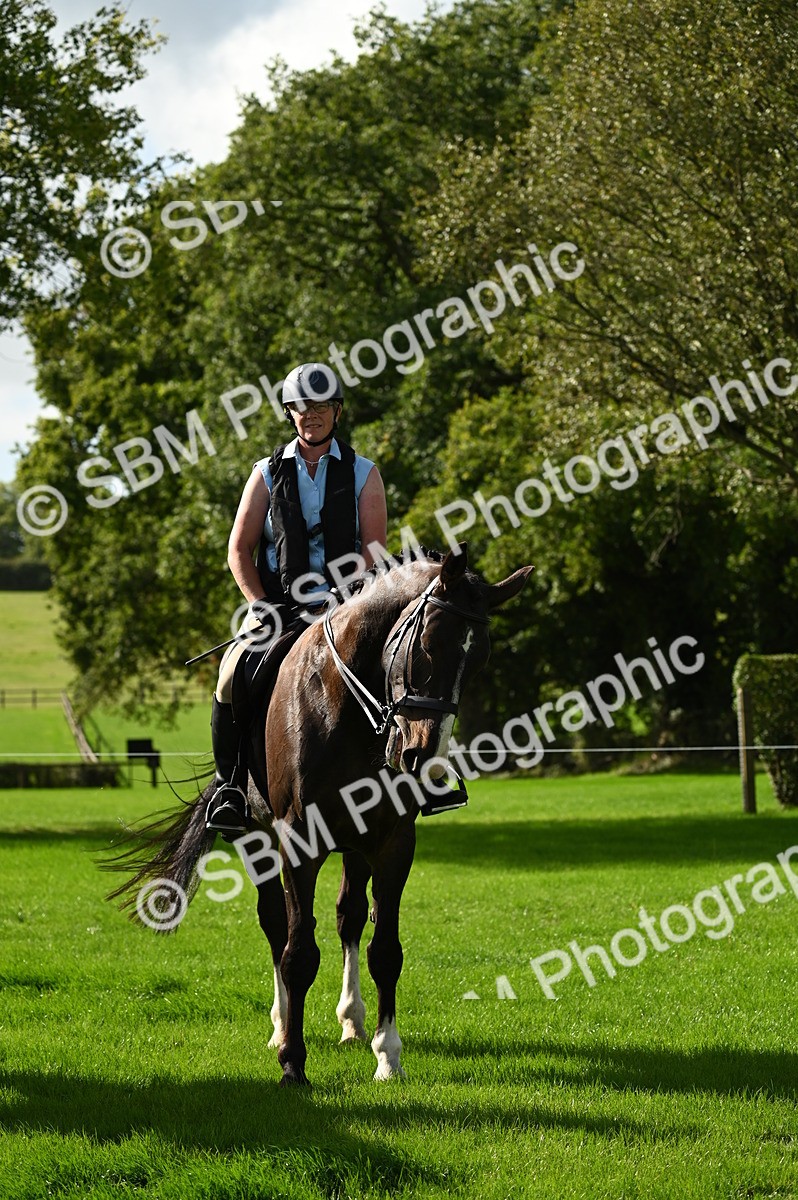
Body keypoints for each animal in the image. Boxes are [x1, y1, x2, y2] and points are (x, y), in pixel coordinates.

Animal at [108, 545, 533, 1085]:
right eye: (429, 646)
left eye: (478, 662)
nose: (421, 757)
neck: (346, 706)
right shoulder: (297, 843)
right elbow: (298, 952)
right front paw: (293, 1061)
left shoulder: (393, 844)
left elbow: (385, 950)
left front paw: (387, 1055)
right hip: (255, 839)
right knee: (276, 926)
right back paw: (279, 1024)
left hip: (355, 846)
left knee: (348, 917)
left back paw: (351, 1021)